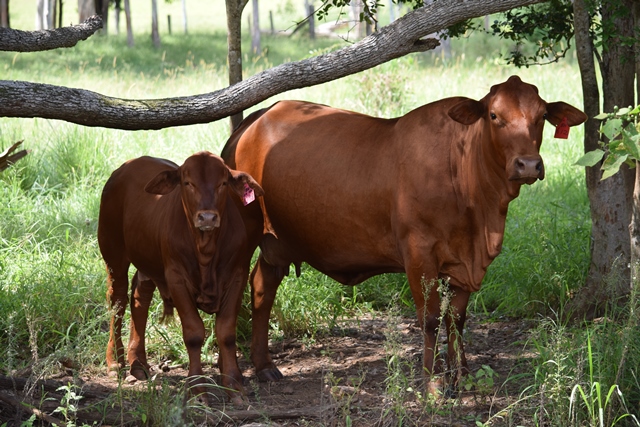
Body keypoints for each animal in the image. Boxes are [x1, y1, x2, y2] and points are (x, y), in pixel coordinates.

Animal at [97, 151, 264, 405]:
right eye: (188, 183)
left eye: (223, 183)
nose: (207, 217)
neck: (205, 251)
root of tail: (127, 166)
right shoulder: (176, 279)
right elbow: (194, 333)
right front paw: (197, 389)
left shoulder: (237, 276)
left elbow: (226, 332)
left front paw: (234, 386)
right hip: (113, 254)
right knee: (117, 302)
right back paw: (115, 361)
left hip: (148, 259)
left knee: (139, 297)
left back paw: (138, 363)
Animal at [220, 76, 587, 395]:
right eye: (495, 115)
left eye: (541, 116)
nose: (528, 165)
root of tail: (259, 115)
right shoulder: (418, 253)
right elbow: (430, 319)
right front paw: (433, 383)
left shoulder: (464, 263)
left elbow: (457, 319)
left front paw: (463, 375)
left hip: (277, 243)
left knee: (262, 288)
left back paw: (265, 366)